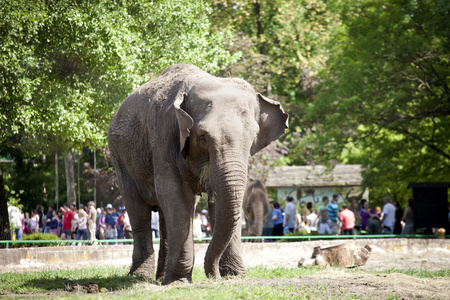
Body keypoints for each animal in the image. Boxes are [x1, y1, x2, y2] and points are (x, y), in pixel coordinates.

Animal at [109, 62, 288, 284]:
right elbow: (174, 192)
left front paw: (234, 276)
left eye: (253, 136)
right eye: (202, 137)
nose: (215, 276)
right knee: (139, 211)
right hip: (120, 157)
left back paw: (160, 278)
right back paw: (140, 277)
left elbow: (215, 199)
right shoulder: (164, 134)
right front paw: (179, 280)